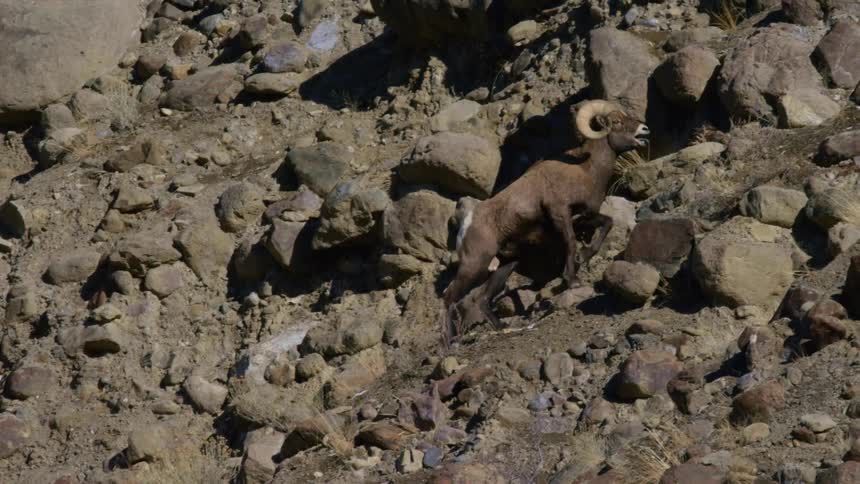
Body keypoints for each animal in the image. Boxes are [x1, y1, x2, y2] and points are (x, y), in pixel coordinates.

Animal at [441, 100, 650, 344]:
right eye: (616, 121)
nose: (644, 130)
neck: (586, 171)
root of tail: (468, 221)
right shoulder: (560, 213)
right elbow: (570, 241)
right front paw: (572, 280)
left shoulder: (583, 217)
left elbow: (607, 223)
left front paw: (583, 257)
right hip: (475, 265)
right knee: (449, 297)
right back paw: (449, 343)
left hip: (507, 264)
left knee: (482, 298)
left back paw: (501, 326)